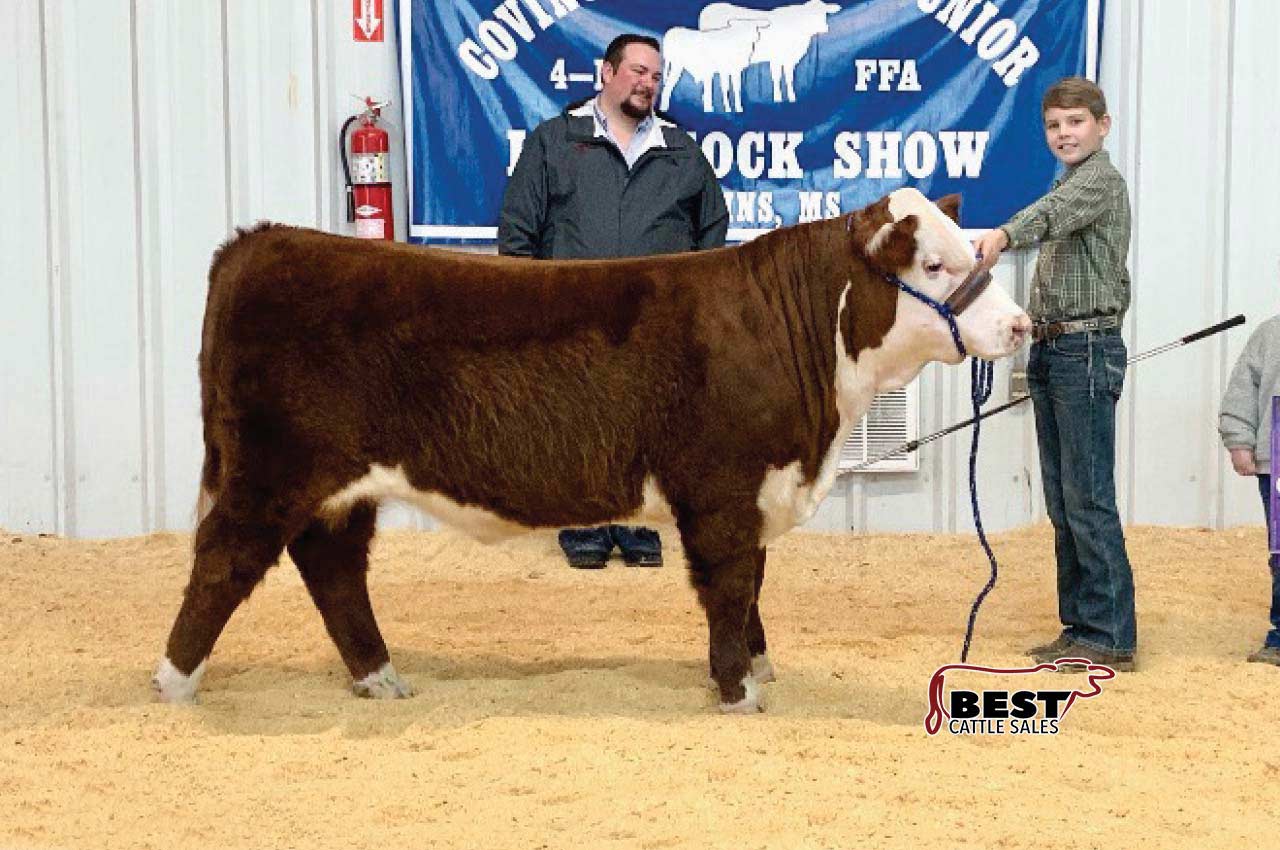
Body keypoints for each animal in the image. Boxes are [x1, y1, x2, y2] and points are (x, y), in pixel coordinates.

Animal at [152, 188, 1030, 713]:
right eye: (934, 263)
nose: (1020, 326)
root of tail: (262, 242)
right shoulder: (719, 488)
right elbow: (729, 586)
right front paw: (738, 690)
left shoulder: (756, 490)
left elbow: (753, 585)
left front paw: (757, 668)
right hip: (270, 468)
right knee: (226, 558)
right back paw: (172, 682)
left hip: (340, 485)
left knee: (331, 567)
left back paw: (380, 676)